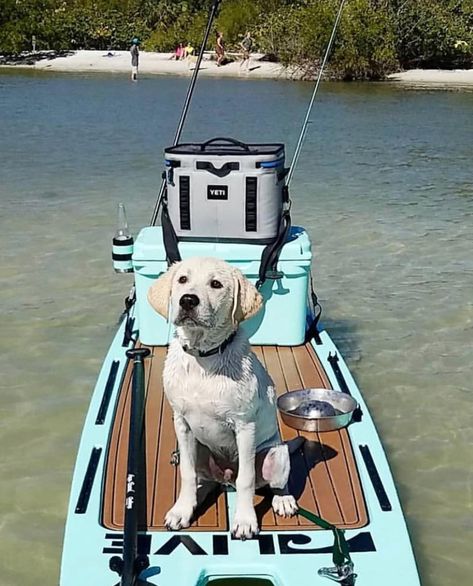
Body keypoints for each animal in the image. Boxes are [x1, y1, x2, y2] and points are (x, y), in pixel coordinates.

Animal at [148, 256, 296, 540]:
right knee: (202, 479)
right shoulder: (181, 422)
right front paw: (181, 510)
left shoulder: (244, 426)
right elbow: (186, 474)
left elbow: (246, 480)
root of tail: (226, 476)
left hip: (276, 453)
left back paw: (283, 500)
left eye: (216, 284)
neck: (202, 358)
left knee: (273, 483)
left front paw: (245, 521)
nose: (187, 300)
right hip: (199, 450)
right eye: (182, 279)